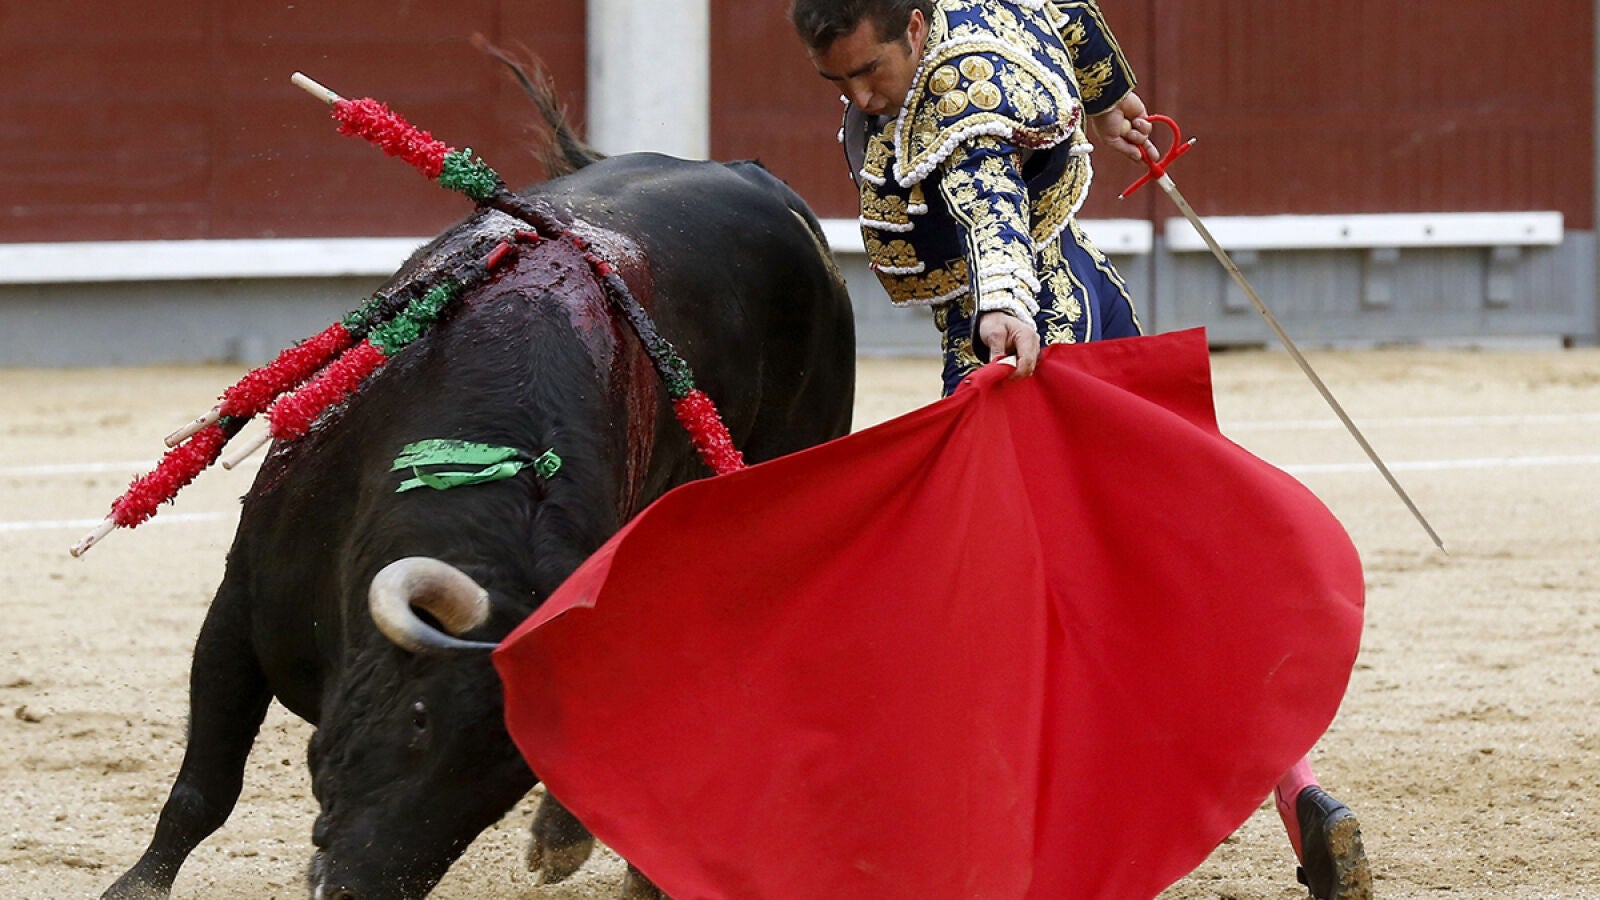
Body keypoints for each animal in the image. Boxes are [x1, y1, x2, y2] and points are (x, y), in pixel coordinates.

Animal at [101, 82, 856, 899]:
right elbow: (206, 784)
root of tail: (757, 177)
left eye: (505, 783)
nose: (361, 886)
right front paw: (136, 886)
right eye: (420, 719)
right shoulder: (240, 604)